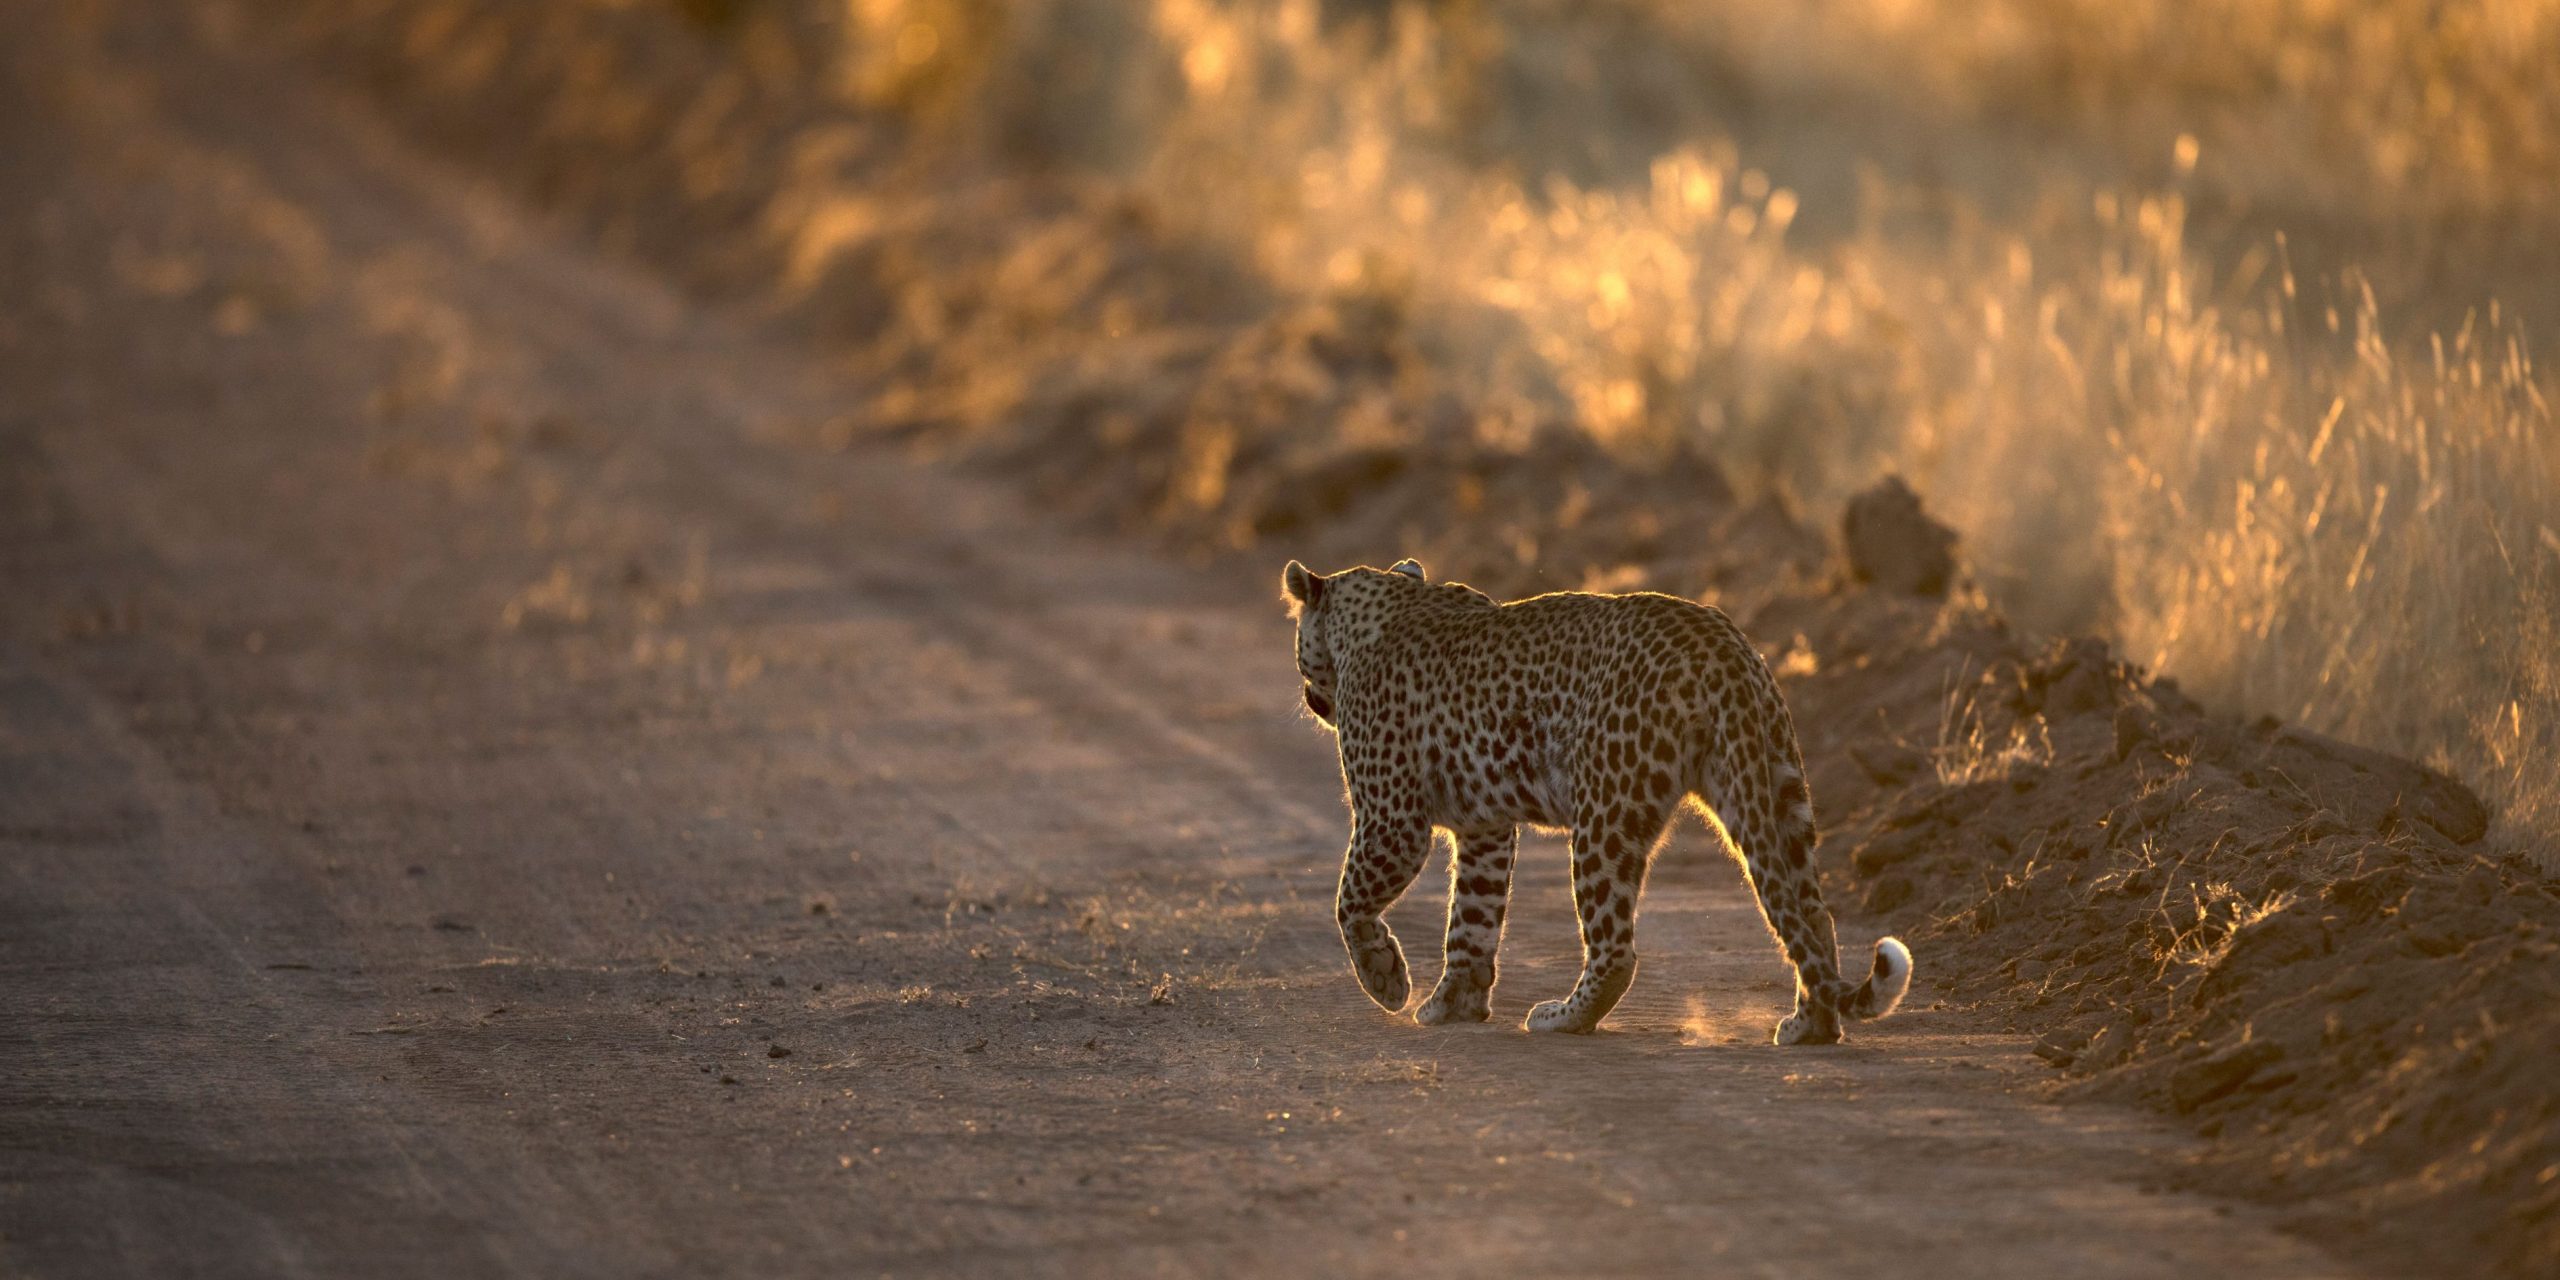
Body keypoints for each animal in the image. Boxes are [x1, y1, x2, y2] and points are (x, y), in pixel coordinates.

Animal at [1282, 557, 1912, 1044]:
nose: (1310, 700)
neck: (1381, 605)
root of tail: (1718, 639)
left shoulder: (1390, 821)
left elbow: (1349, 901)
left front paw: (1386, 980)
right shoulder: (1485, 828)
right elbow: (1472, 916)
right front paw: (1454, 1003)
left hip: (1606, 816)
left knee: (1616, 951)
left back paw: (1562, 1017)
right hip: (1775, 786)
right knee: (1811, 917)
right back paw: (1811, 1026)